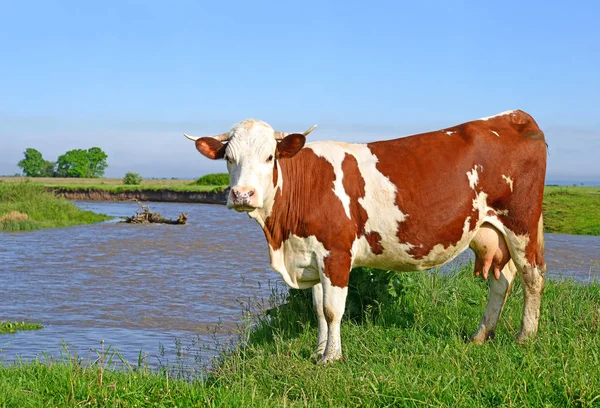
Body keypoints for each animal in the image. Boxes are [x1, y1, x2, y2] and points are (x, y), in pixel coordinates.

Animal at [185, 109, 548, 364]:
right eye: (228, 158)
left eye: (269, 157)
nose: (242, 195)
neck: (282, 237)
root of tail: (513, 115)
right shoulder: (312, 254)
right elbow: (317, 309)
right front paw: (319, 350)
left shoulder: (336, 252)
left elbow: (333, 309)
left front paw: (332, 358)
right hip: (489, 231)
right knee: (501, 280)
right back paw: (480, 335)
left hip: (521, 223)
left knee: (532, 276)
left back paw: (525, 337)